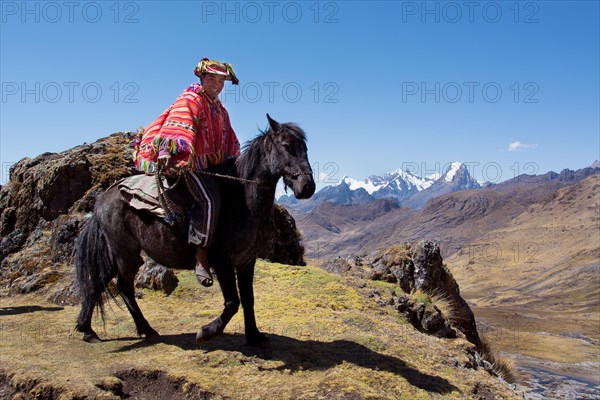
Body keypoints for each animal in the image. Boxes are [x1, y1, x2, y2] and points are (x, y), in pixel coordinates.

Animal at [76, 114, 314, 346]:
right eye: (286, 146)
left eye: (305, 148)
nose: (307, 187)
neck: (242, 200)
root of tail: (102, 199)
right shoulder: (221, 260)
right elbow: (232, 302)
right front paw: (206, 332)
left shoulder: (246, 260)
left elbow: (248, 298)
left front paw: (254, 336)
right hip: (125, 254)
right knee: (124, 287)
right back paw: (144, 330)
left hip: (118, 254)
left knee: (98, 282)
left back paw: (88, 330)